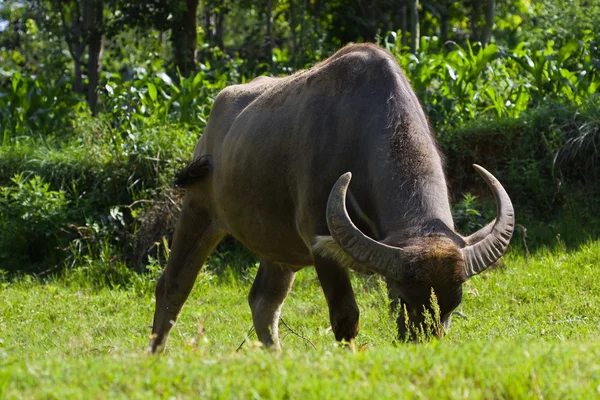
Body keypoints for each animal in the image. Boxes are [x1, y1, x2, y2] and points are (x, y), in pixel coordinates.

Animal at [148, 42, 512, 352]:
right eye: (402, 297)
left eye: (454, 303)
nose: (423, 343)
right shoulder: (320, 242)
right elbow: (346, 316)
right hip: (198, 210)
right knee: (173, 286)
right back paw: (155, 352)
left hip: (279, 250)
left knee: (264, 302)